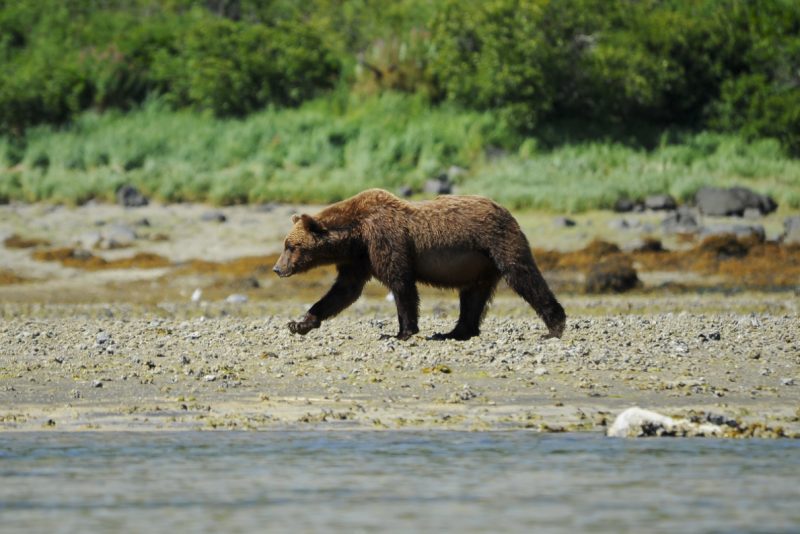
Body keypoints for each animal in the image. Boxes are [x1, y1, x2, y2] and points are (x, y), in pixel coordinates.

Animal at [273, 189, 566, 340]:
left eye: (291, 246)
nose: (277, 268)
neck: (356, 235)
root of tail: (506, 209)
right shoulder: (359, 259)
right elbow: (343, 291)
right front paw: (300, 323)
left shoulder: (385, 241)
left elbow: (401, 283)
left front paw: (402, 332)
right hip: (478, 263)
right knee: (473, 296)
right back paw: (454, 332)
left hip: (498, 243)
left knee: (523, 276)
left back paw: (554, 327)